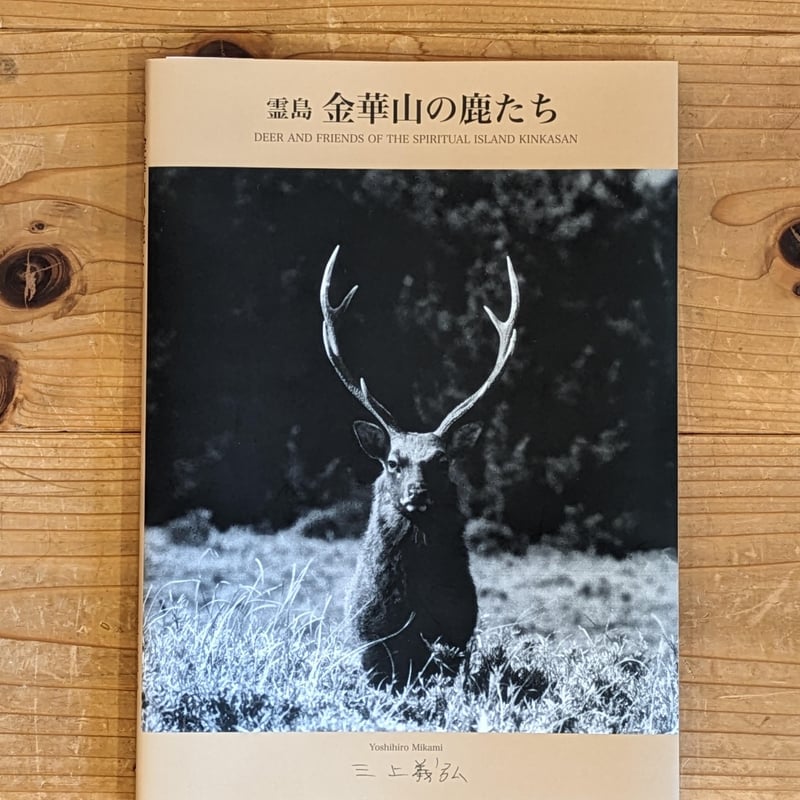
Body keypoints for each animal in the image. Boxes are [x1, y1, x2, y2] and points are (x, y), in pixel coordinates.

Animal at [320, 246, 519, 687]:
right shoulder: (368, 646)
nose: (418, 493)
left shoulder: (459, 635)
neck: (412, 612)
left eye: (441, 460)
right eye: (394, 462)